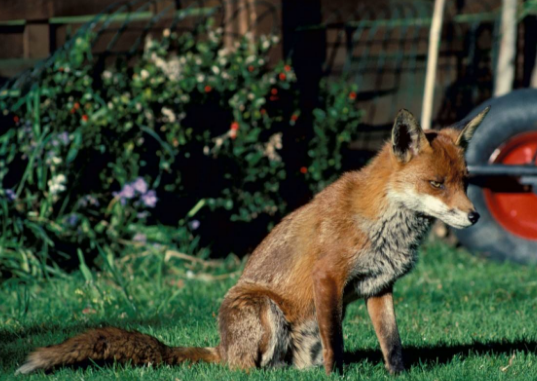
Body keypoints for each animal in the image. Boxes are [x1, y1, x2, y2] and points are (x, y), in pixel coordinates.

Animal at [16, 107, 488, 374]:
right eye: (436, 183)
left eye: (465, 182)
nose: (474, 216)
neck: (385, 224)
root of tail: (220, 348)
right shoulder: (328, 279)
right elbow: (337, 344)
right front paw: (338, 376)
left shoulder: (379, 285)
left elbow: (392, 345)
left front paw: (398, 375)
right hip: (264, 309)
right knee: (244, 369)